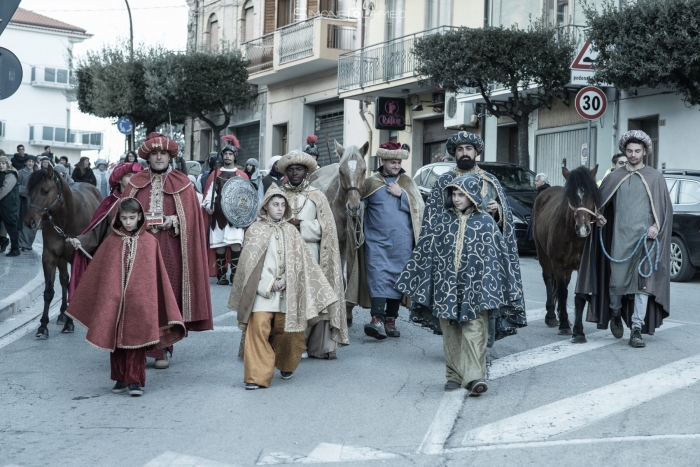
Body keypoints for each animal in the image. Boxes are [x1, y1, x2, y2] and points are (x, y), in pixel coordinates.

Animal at [24, 168, 102, 340]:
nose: (30, 222)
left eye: (45, 191)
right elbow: (49, 291)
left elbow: (75, 286)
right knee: (64, 281)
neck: (66, 219)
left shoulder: (77, 256)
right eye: (29, 191)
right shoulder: (50, 257)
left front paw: (70, 323)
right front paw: (43, 326)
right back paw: (62, 314)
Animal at [532, 165, 600, 344]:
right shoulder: (557, 264)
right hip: (543, 254)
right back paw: (551, 316)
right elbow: (562, 293)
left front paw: (578, 331)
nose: (583, 229)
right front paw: (563, 325)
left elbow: (579, 296)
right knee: (548, 280)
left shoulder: (584, 265)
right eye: (571, 196)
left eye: (591, 194)